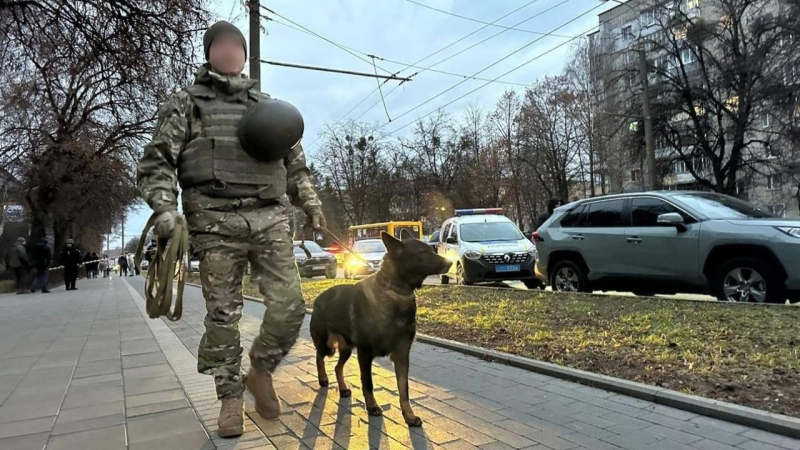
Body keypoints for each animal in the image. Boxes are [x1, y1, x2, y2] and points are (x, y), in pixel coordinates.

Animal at [310, 230, 454, 428]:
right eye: (422, 252)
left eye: (431, 250)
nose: (450, 263)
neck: (395, 292)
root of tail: (317, 299)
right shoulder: (365, 354)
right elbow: (368, 384)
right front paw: (372, 406)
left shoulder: (402, 356)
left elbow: (404, 390)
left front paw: (409, 416)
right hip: (328, 345)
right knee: (319, 356)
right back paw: (323, 378)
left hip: (346, 349)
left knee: (338, 367)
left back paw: (343, 388)